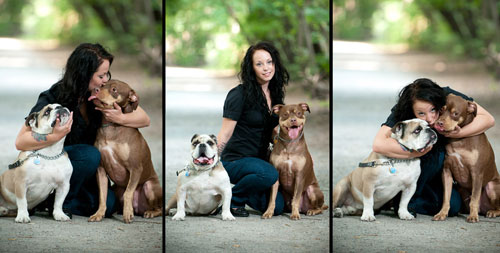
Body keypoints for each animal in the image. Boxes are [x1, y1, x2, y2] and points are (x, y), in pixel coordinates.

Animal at [86, 79, 162, 223]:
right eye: (103, 84)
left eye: (114, 90)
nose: (96, 89)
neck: (110, 126)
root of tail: (139, 209)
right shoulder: (101, 169)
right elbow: (102, 195)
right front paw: (99, 213)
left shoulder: (136, 168)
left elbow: (128, 193)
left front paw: (128, 213)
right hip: (116, 188)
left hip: (150, 186)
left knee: (158, 208)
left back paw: (149, 212)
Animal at [432, 94, 498, 222]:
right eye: (441, 109)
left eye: (455, 113)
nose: (439, 123)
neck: (458, 140)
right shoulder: (446, 171)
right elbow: (446, 197)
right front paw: (442, 213)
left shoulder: (477, 173)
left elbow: (475, 199)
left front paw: (473, 216)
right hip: (461, 188)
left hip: (492, 187)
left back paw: (492, 212)